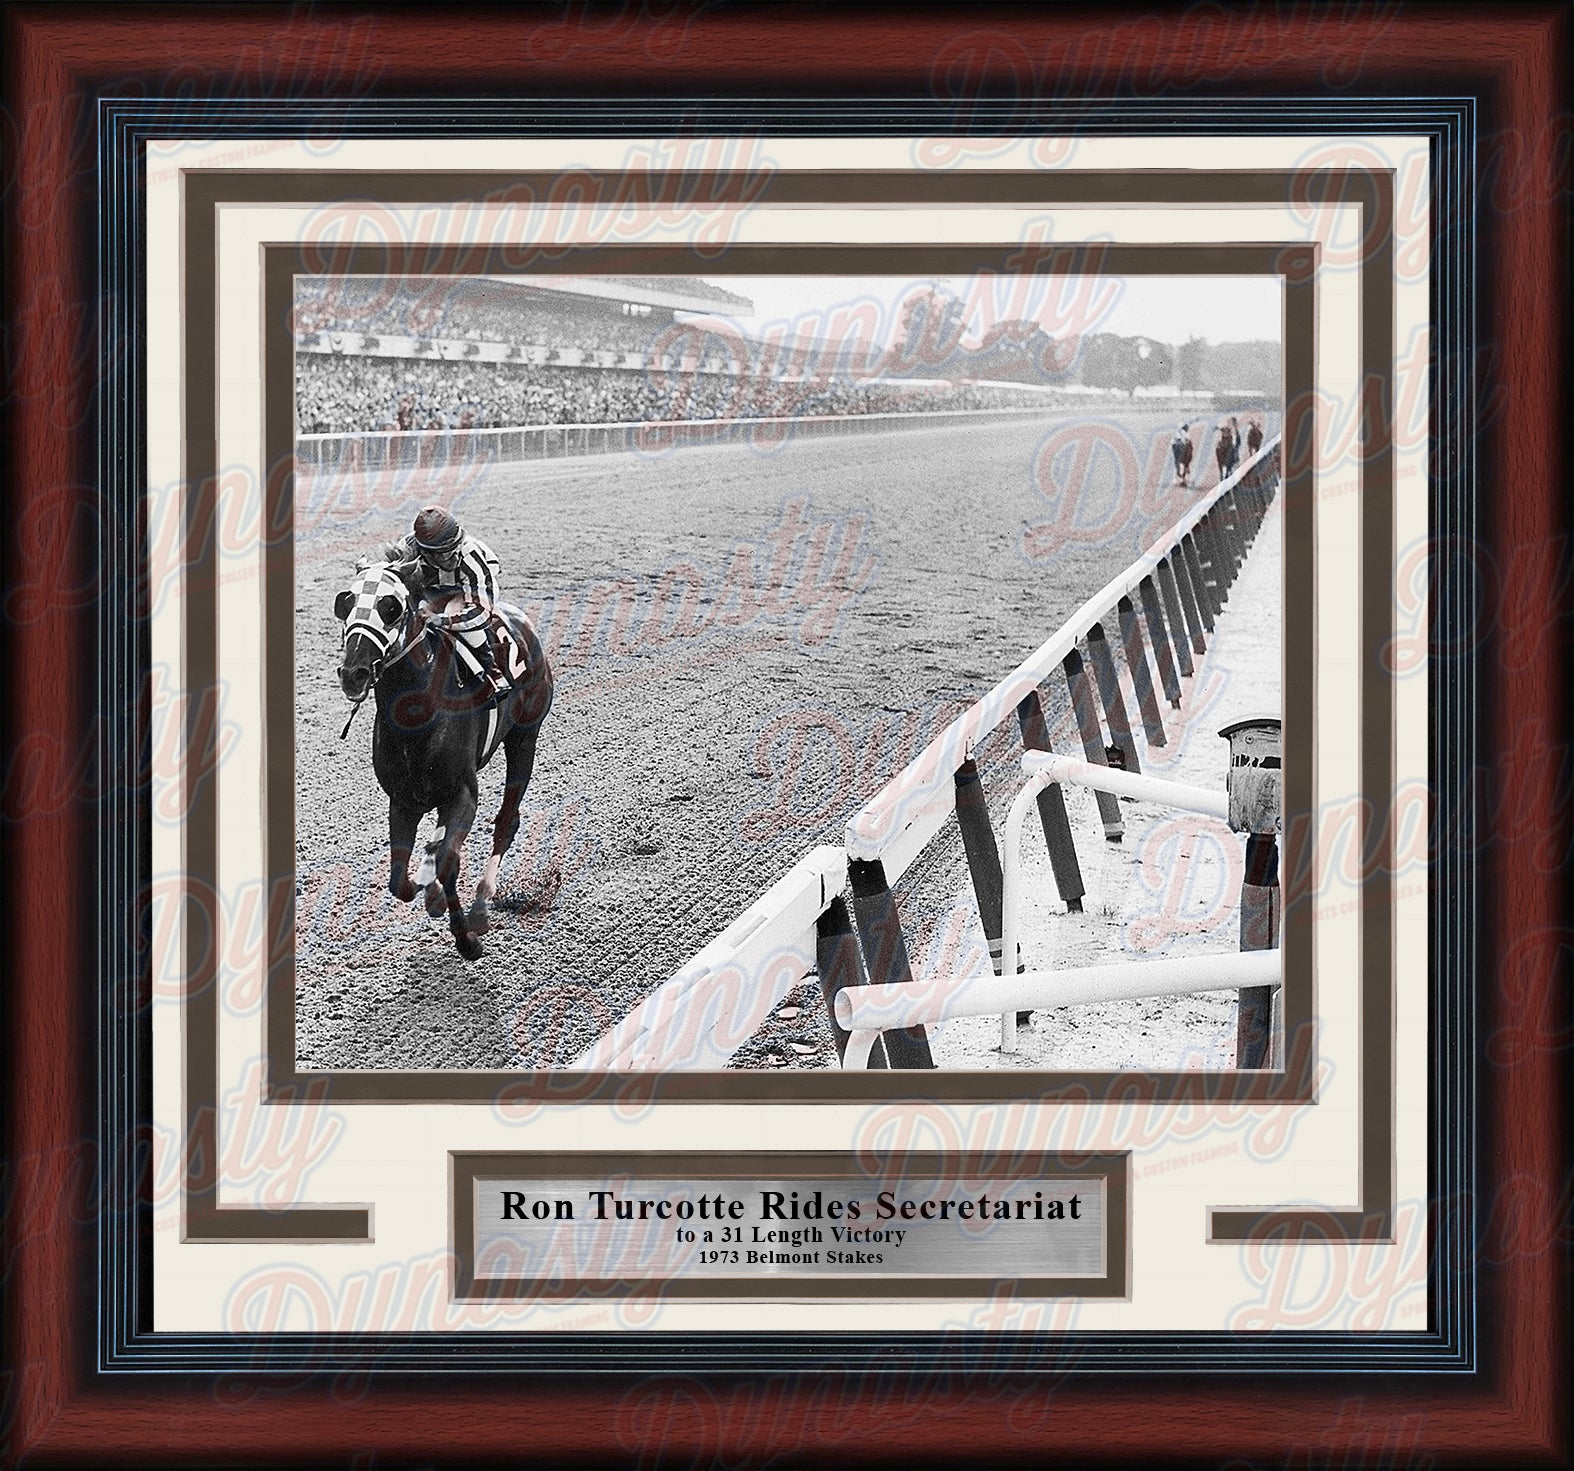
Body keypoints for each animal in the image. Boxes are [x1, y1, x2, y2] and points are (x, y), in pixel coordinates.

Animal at [332, 560, 554, 956]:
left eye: (391, 607)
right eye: (345, 603)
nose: (353, 673)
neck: (416, 712)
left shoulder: (463, 793)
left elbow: (450, 861)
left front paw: (466, 940)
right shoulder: (403, 801)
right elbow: (398, 880)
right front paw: (429, 889)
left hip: (524, 738)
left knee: (506, 822)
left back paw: (481, 904)